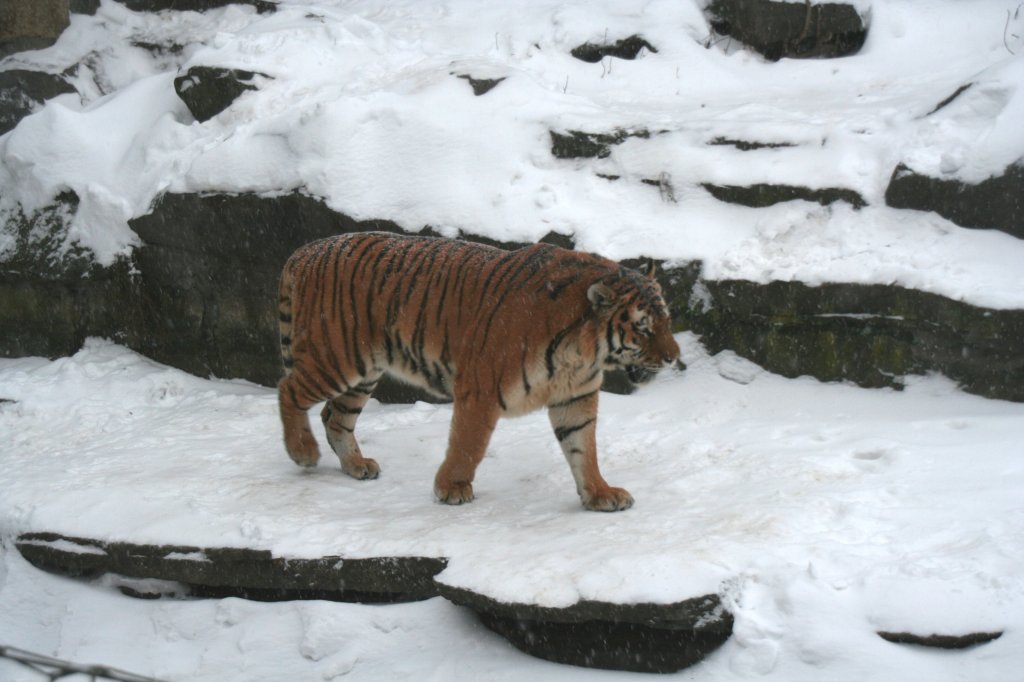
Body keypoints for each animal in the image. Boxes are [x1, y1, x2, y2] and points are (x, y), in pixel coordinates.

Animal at [278, 231, 679, 507]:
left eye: (666, 321)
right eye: (643, 328)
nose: (674, 357)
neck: (583, 351)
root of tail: (306, 250)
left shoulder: (575, 398)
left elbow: (584, 449)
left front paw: (599, 493)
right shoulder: (481, 388)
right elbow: (469, 444)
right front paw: (452, 488)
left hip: (363, 373)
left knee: (335, 417)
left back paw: (356, 465)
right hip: (336, 357)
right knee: (289, 390)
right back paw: (303, 451)